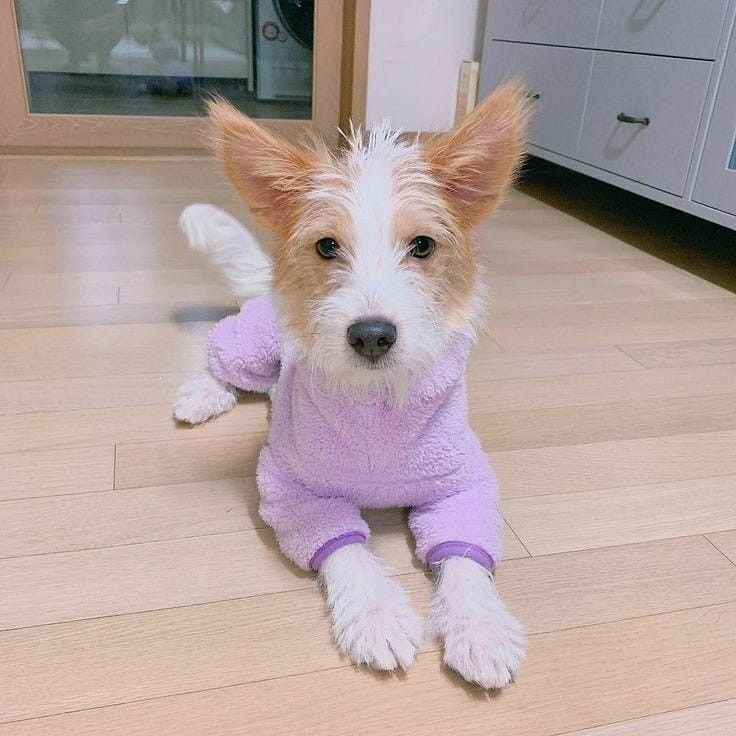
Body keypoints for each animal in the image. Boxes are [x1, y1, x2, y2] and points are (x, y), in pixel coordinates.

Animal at [177, 83, 536, 688]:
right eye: (326, 247)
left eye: (422, 246)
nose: (372, 335)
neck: (379, 402)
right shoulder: (293, 486)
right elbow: (346, 550)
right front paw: (377, 616)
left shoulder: (464, 483)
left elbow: (464, 556)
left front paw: (479, 626)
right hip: (255, 343)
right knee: (219, 357)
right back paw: (202, 395)